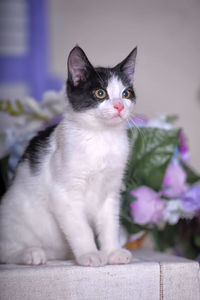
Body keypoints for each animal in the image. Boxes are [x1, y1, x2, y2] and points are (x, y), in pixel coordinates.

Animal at [0, 45, 137, 266]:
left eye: (126, 93)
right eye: (100, 93)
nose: (119, 106)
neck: (100, 137)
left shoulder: (110, 193)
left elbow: (109, 224)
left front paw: (112, 251)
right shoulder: (64, 194)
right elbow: (81, 229)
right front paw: (90, 254)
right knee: (6, 250)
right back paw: (30, 253)